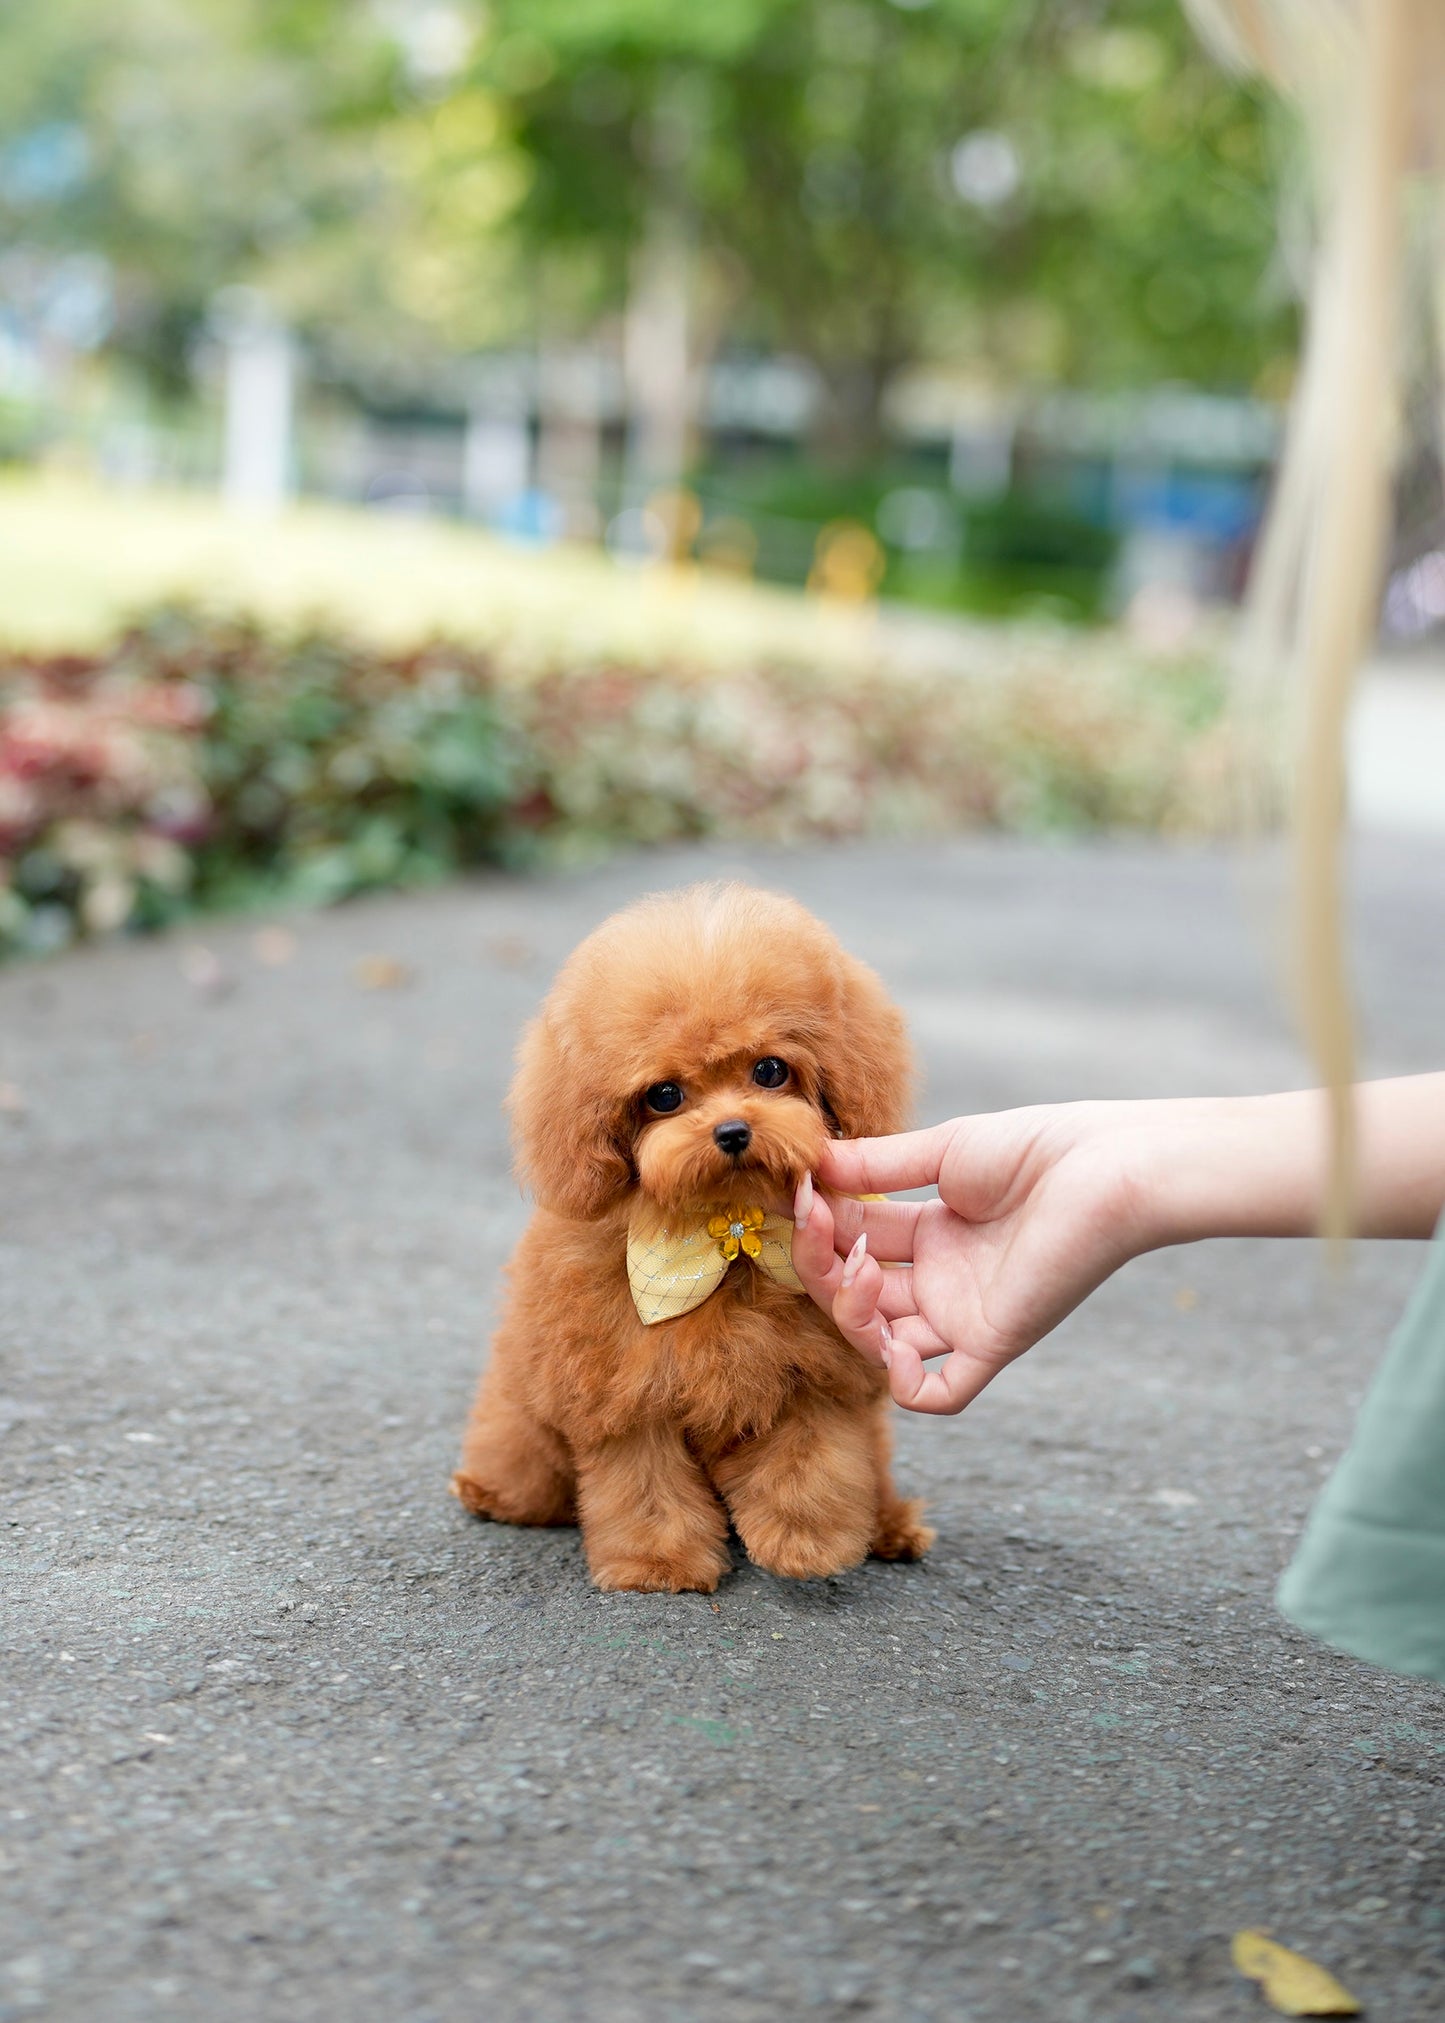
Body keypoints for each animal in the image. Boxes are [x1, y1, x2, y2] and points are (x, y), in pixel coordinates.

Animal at [449, 886, 934, 1594]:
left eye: (770, 1069)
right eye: (664, 1095)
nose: (732, 1131)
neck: (728, 1232)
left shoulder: (820, 1375)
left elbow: (811, 1463)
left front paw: (807, 1543)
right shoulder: (624, 1389)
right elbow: (645, 1484)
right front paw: (659, 1564)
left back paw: (892, 1527)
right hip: (524, 1408)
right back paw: (491, 1493)